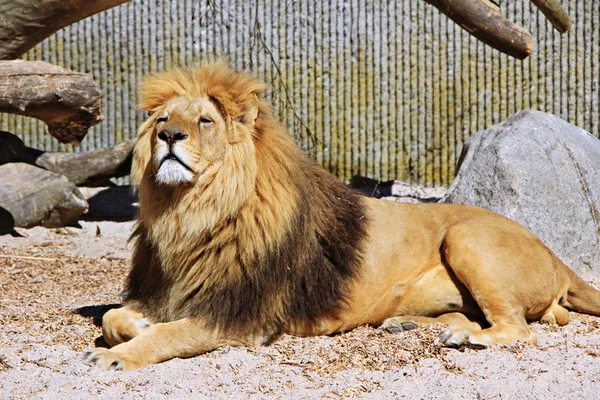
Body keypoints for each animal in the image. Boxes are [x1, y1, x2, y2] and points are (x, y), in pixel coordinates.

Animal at [84, 61, 600, 370]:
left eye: (204, 121)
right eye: (161, 119)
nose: (169, 135)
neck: (189, 213)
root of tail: (556, 258)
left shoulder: (240, 317)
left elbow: (169, 336)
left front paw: (118, 357)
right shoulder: (166, 290)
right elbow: (113, 316)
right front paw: (134, 327)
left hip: (467, 239)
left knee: (520, 330)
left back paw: (468, 339)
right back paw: (420, 326)